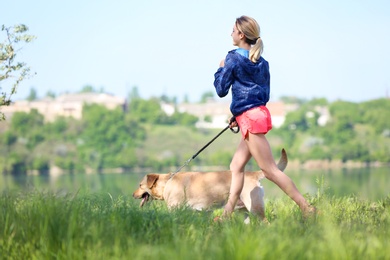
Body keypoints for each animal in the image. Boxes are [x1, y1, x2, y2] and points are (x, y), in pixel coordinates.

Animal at [133, 149, 288, 220]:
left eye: (140, 185)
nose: (132, 195)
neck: (167, 183)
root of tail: (253, 173)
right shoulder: (202, 212)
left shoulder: (174, 209)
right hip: (243, 211)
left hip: (254, 207)